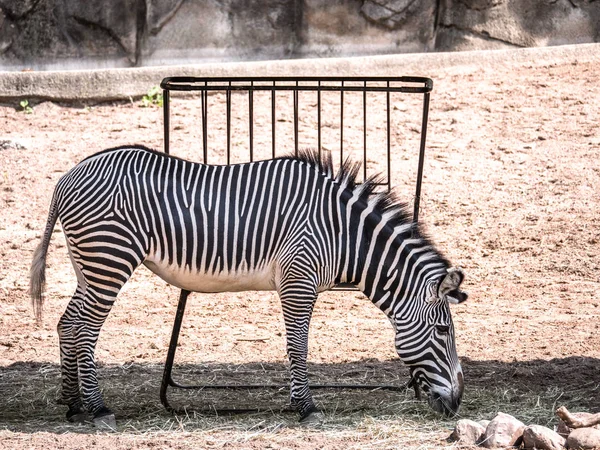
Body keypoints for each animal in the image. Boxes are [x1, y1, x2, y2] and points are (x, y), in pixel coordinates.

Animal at [29, 146, 468, 428]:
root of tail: (68, 177)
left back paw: (74, 406)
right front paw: (306, 407)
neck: (343, 233)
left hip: (88, 264)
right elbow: (298, 345)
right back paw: (98, 409)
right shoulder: (298, 279)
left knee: (69, 323)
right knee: (86, 329)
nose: (458, 403)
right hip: (109, 258)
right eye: (443, 330)